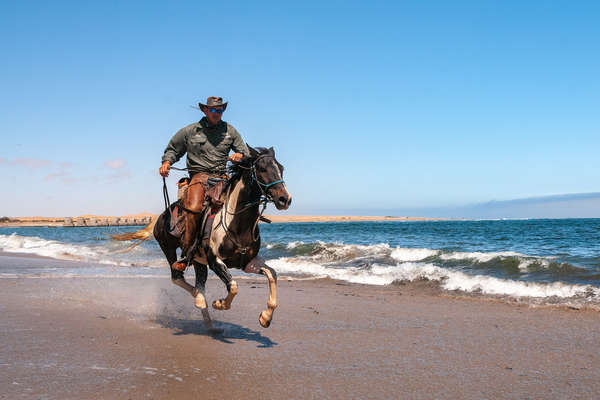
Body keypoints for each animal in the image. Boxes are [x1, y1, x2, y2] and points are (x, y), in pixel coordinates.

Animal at [112, 147, 292, 332]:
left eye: (281, 168)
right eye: (262, 169)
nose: (285, 199)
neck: (237, 223)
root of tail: (159, 217)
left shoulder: (247, 263)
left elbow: (272, 274)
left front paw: (265, 317)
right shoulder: (215, 261)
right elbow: (233, 286)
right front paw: (219, 304)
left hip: (199, 262)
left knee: (199, 285)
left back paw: (209, 322)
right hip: (168, 248)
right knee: (178, 277)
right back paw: (198, 298)